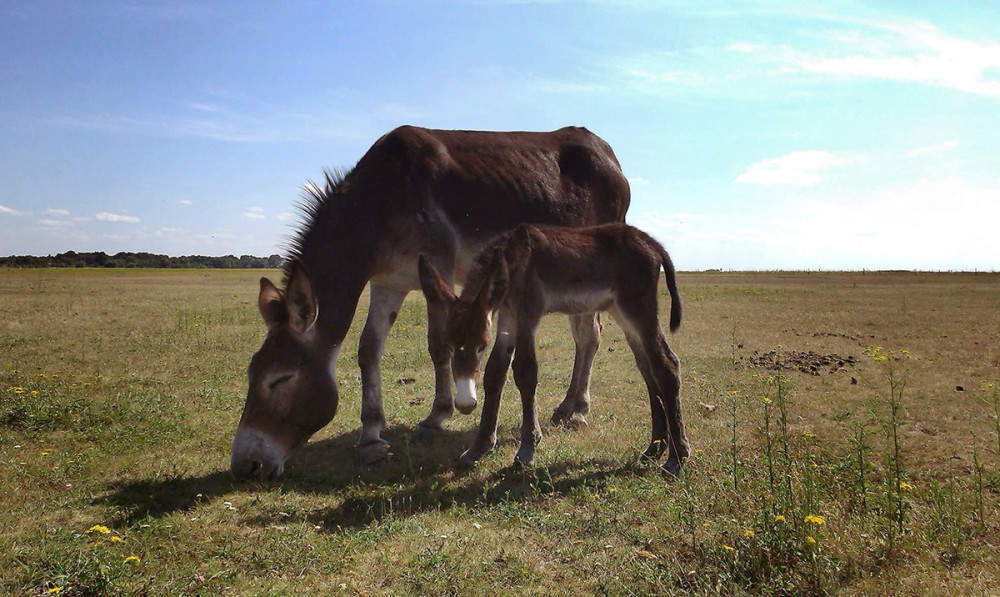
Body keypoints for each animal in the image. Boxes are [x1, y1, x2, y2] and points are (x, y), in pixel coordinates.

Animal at [414, 224, 688, 474]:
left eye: (481, 345)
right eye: (450, 346)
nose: (464, 405)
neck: (511, 258)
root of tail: (652, 243)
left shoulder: (528, 314)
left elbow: (525, 372)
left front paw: (526, 449)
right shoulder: (508, 317)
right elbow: (495, 373)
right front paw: (479, 447)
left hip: (638, 309)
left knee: (667, 364)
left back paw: (677, 457)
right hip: (622, 313)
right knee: (648, 369)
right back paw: (655, 448)